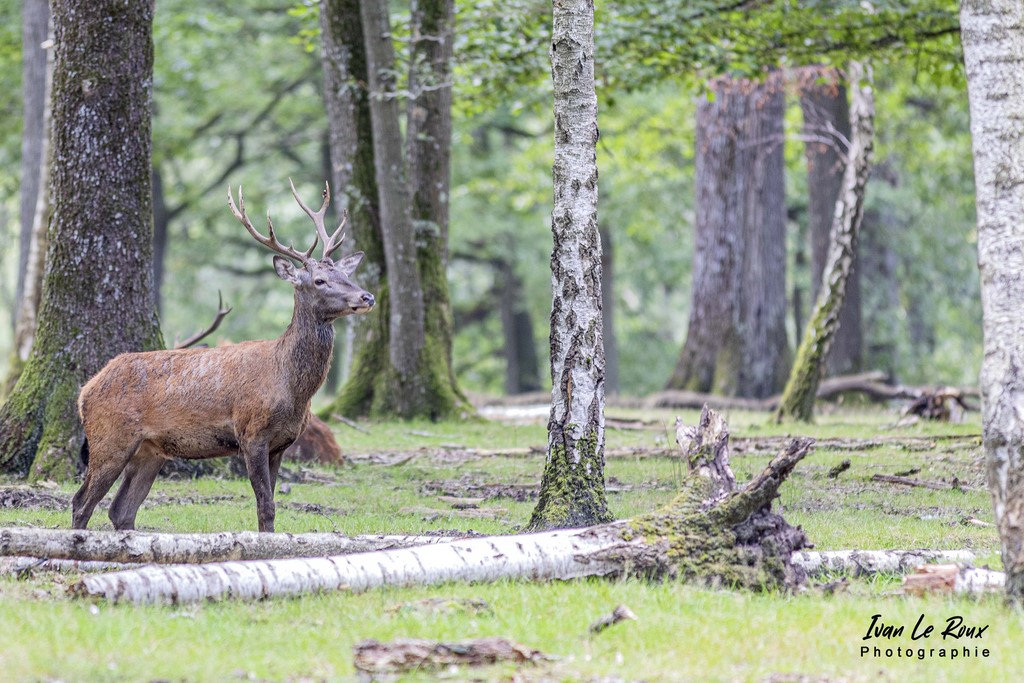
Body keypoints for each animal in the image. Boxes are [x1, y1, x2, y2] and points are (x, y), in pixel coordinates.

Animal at [71, 181, 374, 533]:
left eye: (345, 275)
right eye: (319, 280)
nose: (367, 296)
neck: (290, 387)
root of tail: (85, 390)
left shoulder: (282, 443)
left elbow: (270, 503)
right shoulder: (251, 432)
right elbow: (265, 506)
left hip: (149, 451)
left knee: (121, 510)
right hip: (110, 438)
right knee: (81, 502)